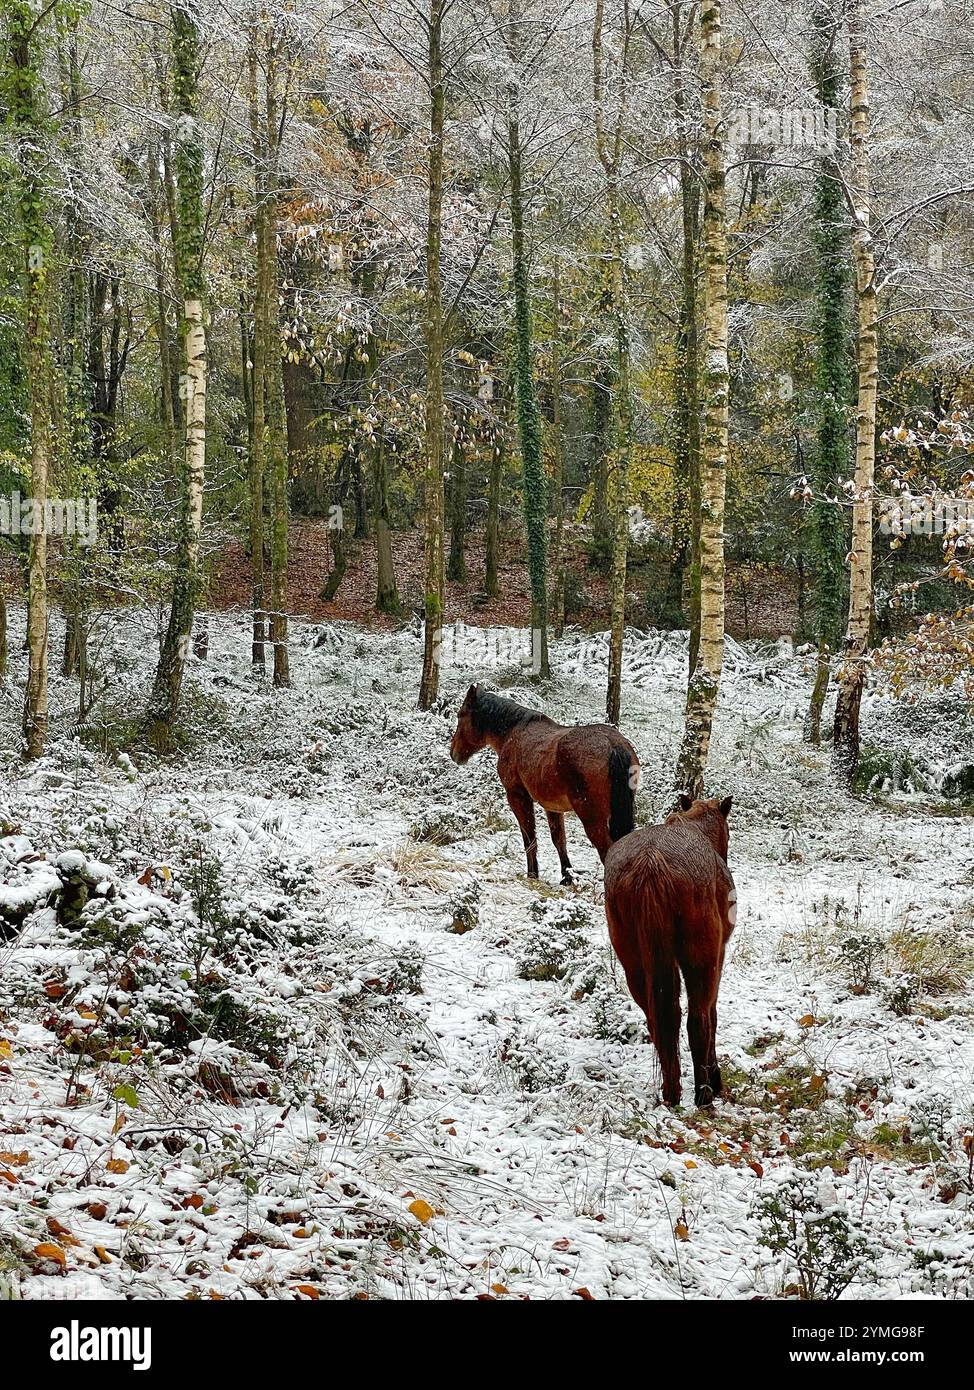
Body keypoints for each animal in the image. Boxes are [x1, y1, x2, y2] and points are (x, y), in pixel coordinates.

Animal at [449, 684, 641, 882]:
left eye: (460, 715)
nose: (453, 752)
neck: (513, 733)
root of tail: (613, 746)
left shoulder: (518, 797)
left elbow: (529, 837)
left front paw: (532, 874)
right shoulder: (552, 806)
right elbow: (558, 839)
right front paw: (567, 876)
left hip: (592, 818)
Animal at [603, 794, 736, 1108]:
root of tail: (651, 864)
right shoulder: (717, 957)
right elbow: (712, 1016)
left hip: (636, 966)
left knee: (660, 1021)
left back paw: (671, 1091)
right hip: (701, 961)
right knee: (697, 1020)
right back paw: (704, 1093)